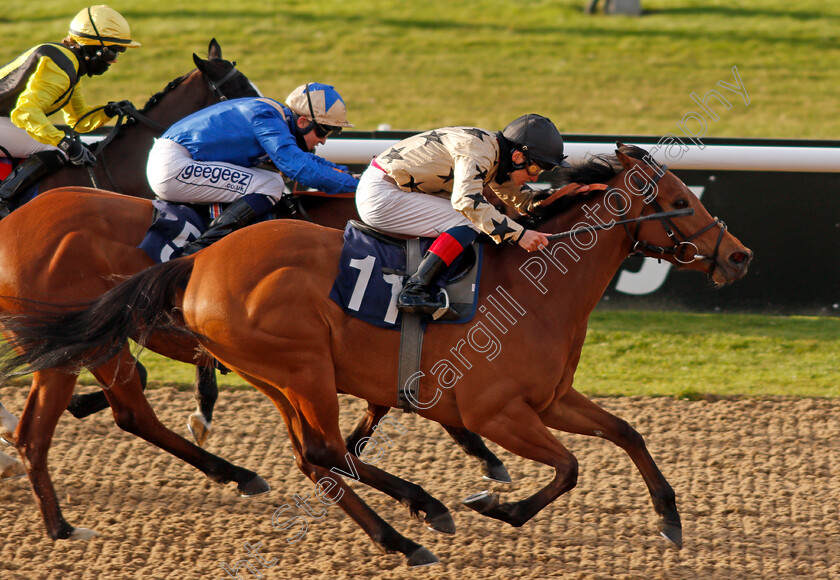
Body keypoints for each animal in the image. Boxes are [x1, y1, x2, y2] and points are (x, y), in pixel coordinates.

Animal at [0, 144, 752, 560]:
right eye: (679, 199)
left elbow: (626, 432)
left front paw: (670, 519)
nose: (740, 256)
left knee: (314, 456)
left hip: (278, 376)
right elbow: (567, 467)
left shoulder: (550, 399)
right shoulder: (500, 412)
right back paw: (409, 530)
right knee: (320, 452)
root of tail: (200, 262)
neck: (535, 288)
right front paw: (495, 504)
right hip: (302, 367)